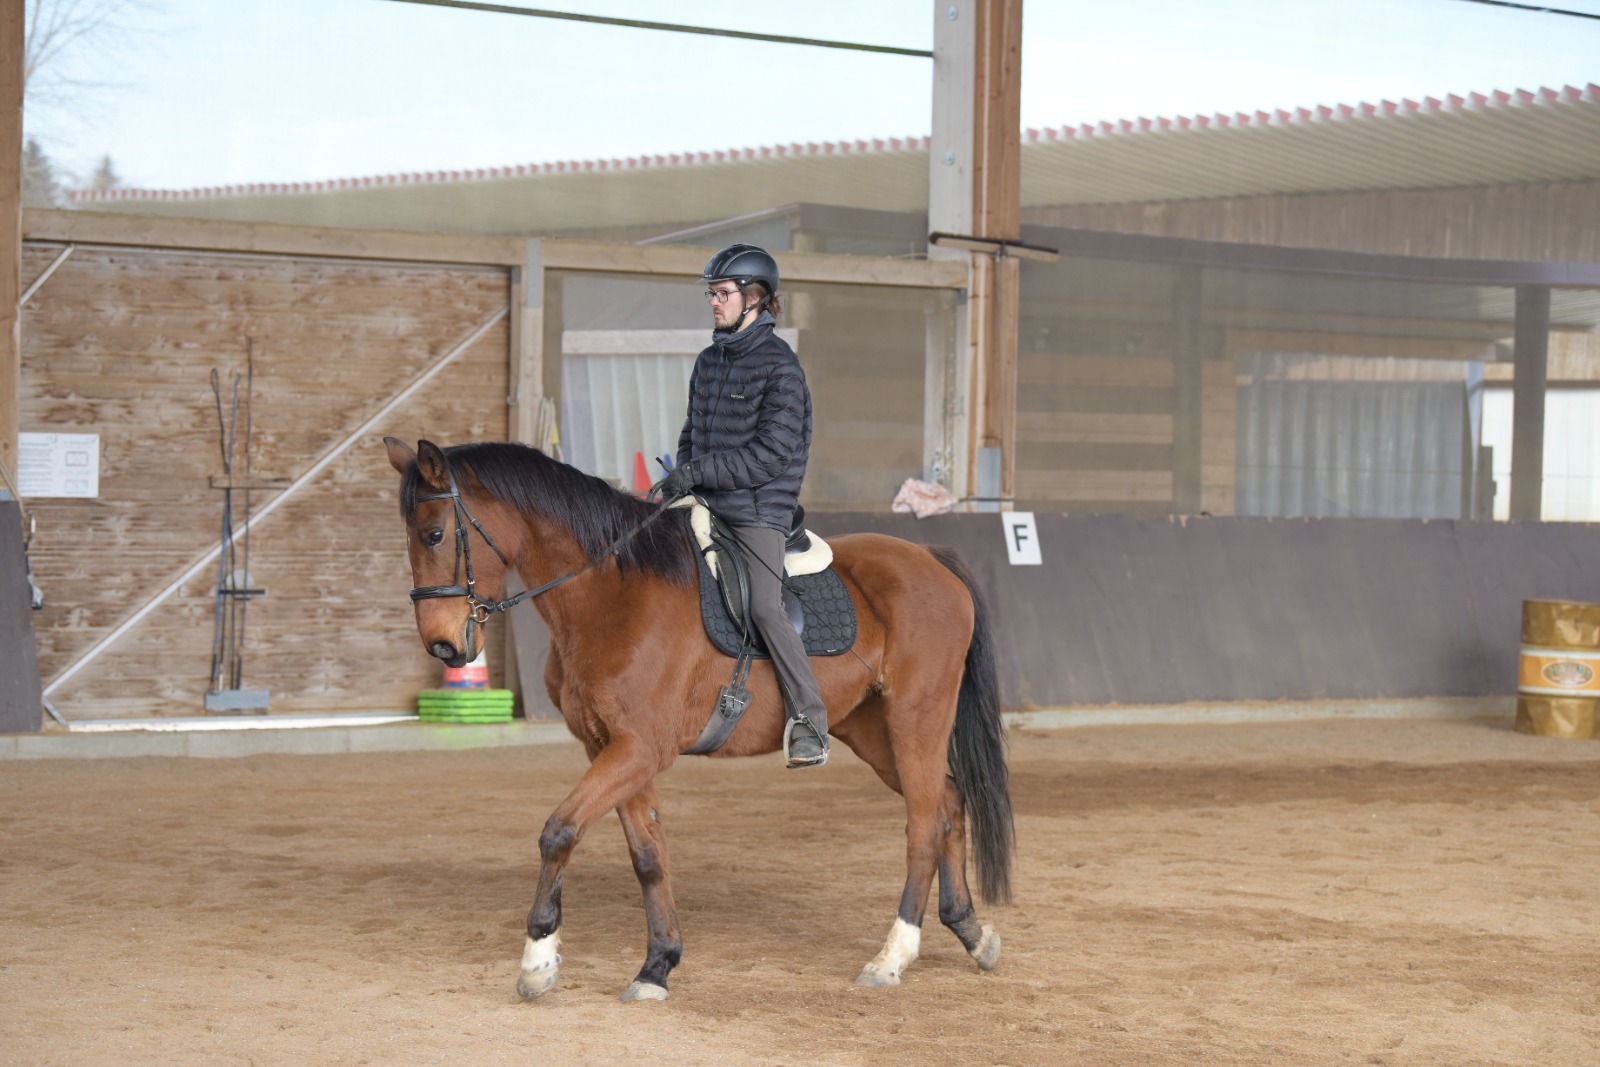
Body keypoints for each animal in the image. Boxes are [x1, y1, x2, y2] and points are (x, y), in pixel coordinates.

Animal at [384, 435, 1011, 1004]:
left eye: (435, 534)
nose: (443, 647)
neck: (611, 594)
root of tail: (930, 559)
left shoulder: (639, 747)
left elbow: (559, 831)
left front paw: (538, 960)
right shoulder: (610, 747)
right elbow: (647, 854)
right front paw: (657, 965)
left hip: (915, 719)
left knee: (924, 822)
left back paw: (893, 955)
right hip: (870, 729)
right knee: (949, 801)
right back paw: (970, 931)